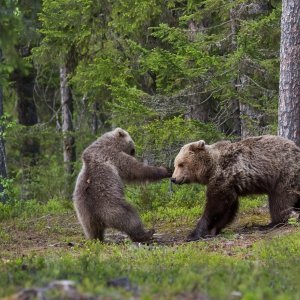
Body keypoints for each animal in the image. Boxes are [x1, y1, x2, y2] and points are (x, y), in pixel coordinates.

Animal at [171, 136, 300, 241]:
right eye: (175, 164)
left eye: (181, 164)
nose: (173, 179)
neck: (210, 169)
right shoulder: (229, 184)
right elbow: (228, 208)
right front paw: (214, 230)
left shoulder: (224, 175)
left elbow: (215, 205)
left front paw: (193, 234)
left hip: (284, 174)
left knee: (280, 200)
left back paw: (273, 223)